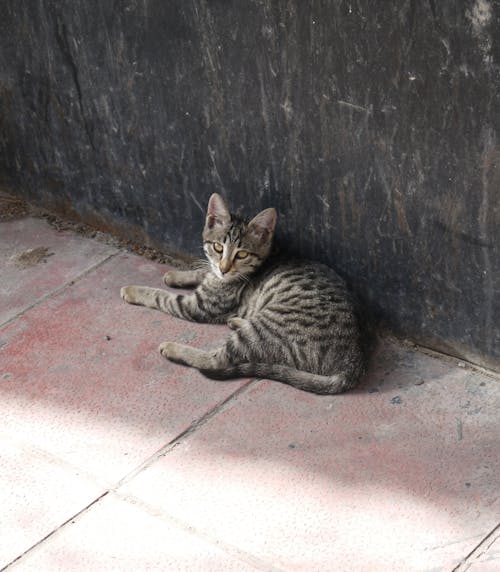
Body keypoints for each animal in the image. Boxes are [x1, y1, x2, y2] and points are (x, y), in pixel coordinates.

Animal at [119, 192, 366, 394]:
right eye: (218, 247)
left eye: (242, 254)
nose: (224, 268)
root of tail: (352, 361)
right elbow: (203, 271)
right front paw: (176, 274)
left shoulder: (200, 305)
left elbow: (161, 296)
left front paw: (133, 290)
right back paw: (236, 320)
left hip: (264, 327)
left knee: (217, 360)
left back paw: (174, 348)